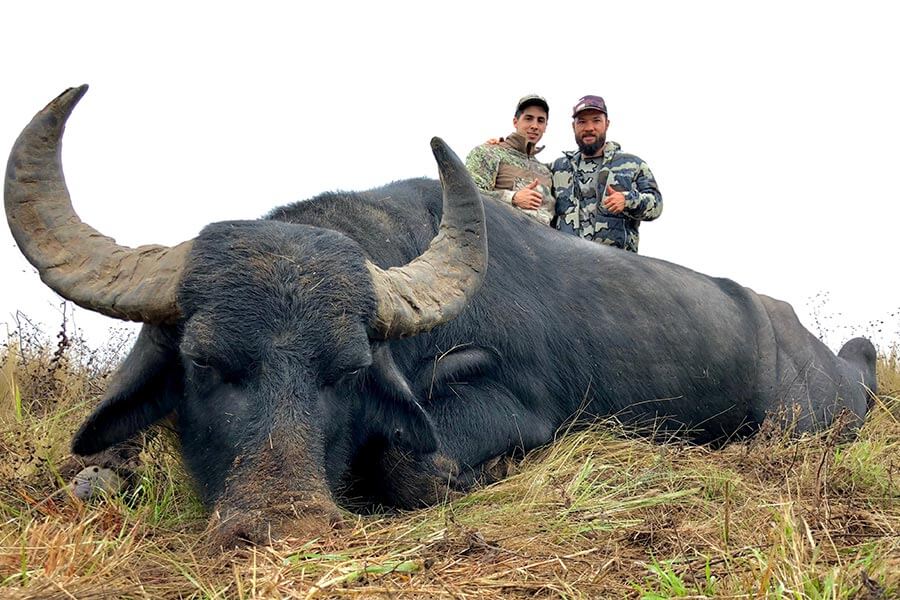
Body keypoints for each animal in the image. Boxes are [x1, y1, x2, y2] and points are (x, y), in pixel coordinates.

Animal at [5, 86, 876, 547]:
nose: (286, 524)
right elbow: (97, 473)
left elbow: (412, 467)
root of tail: (829, 358)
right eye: (205, 363)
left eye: (350, 372)